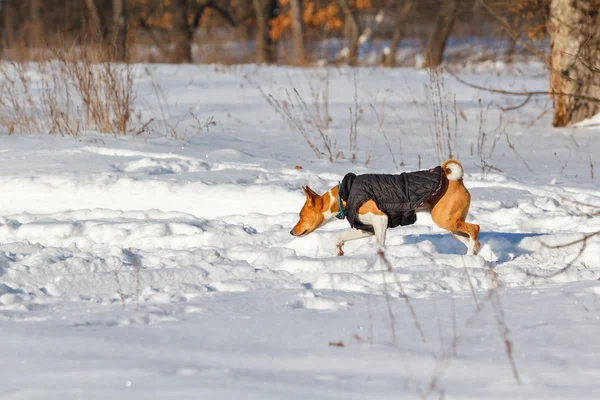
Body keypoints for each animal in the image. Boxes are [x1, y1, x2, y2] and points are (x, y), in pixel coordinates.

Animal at [288, 159, 480, 256]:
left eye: (301, 215)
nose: (291, 232)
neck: (344, 196)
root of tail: (457, 179)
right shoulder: (367, 228)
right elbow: (340, 237)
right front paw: (338, 249)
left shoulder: (381, 220)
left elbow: (380, 244)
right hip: (452, 225)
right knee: (473, 238)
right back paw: (474, 254)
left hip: (445, 220)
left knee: (475, 228)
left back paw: (471, 255)